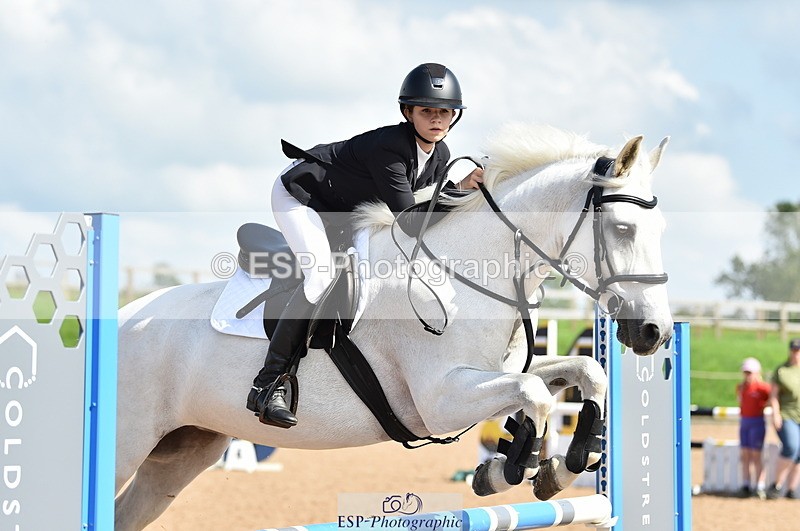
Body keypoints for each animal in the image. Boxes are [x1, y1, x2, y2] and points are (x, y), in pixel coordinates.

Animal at [113, 124, 673, 530]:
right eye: (623, 229)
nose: (655, 334)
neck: (461, 271)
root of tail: (121, 320)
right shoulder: (440, 399)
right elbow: (534, 394)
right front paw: (509, 469)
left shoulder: (488, 375)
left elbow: (583, 373)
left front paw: (567, 461)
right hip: (128, 442)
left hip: (182, 452)